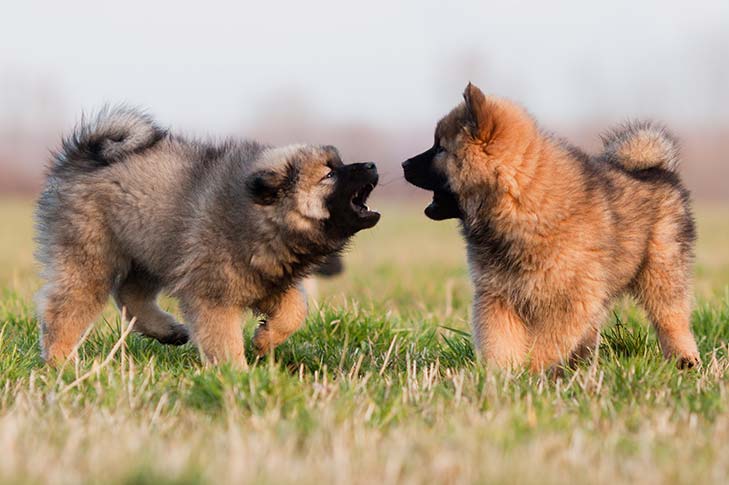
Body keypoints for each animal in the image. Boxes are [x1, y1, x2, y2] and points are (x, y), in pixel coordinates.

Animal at [34, 106, 378, 364]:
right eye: (329, 173)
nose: (372, 165)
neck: (260, 215)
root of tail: (82, 155)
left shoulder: (268, 279)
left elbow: (296, 310)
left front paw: (265, 340)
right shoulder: (213, 295)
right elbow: (224, 339)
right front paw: (237, 376)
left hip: (152, 246)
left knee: (130, 294)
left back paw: (167, 331)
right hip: (91, 256)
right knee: (66, 309)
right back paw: (63, 363)